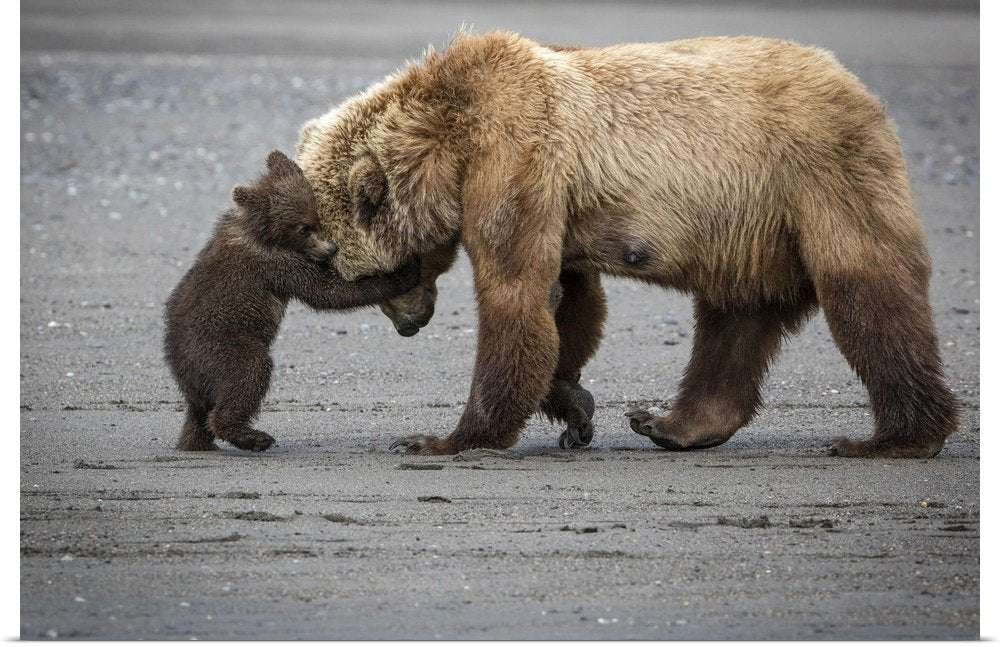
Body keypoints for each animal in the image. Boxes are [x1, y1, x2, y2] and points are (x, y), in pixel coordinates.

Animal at [163, 150, 420, 452]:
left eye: (316, 218)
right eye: (303, 228)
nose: (331, 249)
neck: (261, 232)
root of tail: (180, 369)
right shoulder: (275, 264)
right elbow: (327, 292)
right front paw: (405, 271)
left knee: (199, 413)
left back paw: (197, 442)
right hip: (220, 346)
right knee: (248, 374)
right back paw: (253, 436)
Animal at [295, 31, 959, 458]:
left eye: (360, 274)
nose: (410, 325)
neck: (449, 140)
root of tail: (859, 88)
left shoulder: (515, 158)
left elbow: (515, 296)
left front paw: (444, 438)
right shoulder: (553, 198)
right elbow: (568, 302)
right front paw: (574, 407)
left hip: (817, 177)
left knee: (867, 293)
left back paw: (895, 438)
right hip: (749, 231)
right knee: (734, 320)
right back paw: (671, 423)